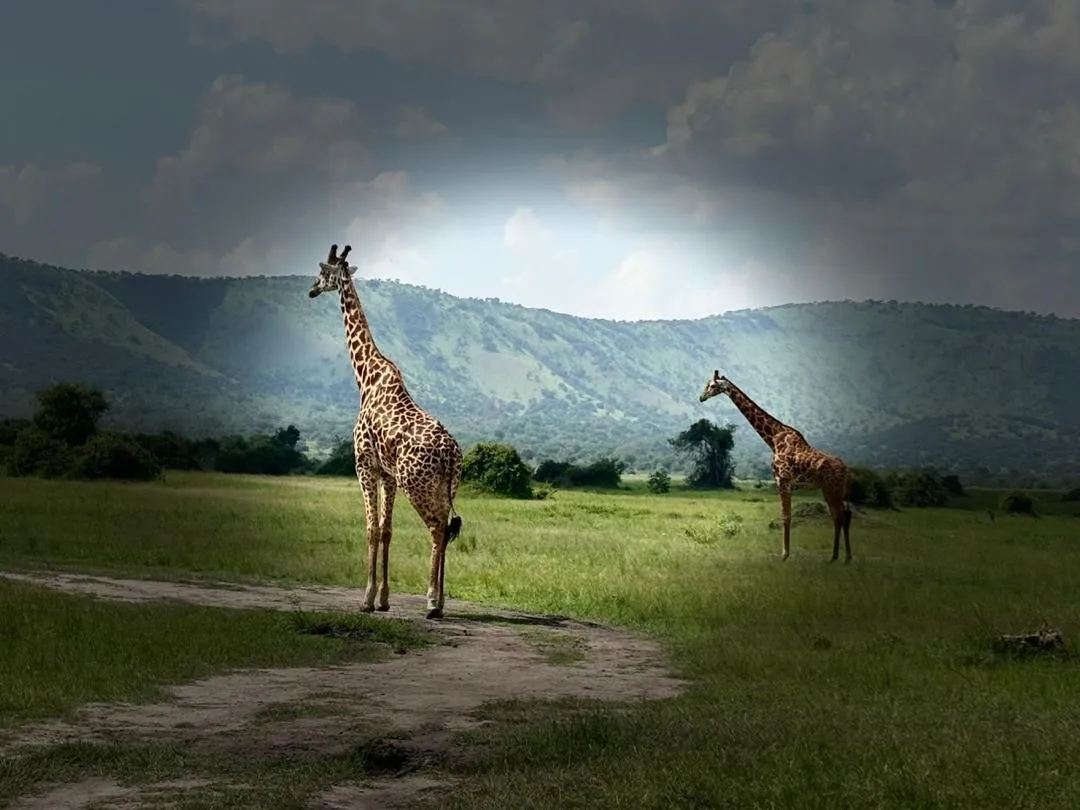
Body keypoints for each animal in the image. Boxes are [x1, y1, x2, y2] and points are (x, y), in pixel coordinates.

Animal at [308, 243, 463, 619]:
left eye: (322, 273)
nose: (311, 291)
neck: (365, 377)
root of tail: (452, 454)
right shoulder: (387, 474)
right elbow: (387, 530)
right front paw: (384, 599)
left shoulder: (364, 464)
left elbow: (370, 529)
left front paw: (366, 600)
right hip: (444, 485)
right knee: (446, 526)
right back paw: (440, 601)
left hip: (416, 483)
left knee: (437, 527)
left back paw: (432, 603)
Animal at [698, 370, 852, 562]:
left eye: (712, 385)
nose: (701, 397)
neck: (773, 438)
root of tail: (847, 471)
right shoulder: (785, 483)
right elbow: (787, 515)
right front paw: (786, 553)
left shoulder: (783, 480)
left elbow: (785, 516)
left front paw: (784, 555)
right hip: (829, 490)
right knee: (840, 517)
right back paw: (836, 557)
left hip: (834, 489)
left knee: (842, 516)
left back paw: (843, 557)